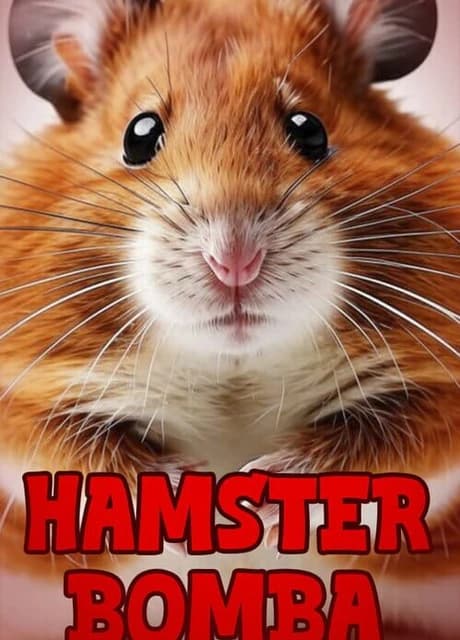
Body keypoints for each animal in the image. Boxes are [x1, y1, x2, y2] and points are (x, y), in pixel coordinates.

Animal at [0, 0, 459, 637]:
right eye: (139, 135)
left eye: (309, 129)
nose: (234, 259)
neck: (233, 370)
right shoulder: (21, 403)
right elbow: (73, 451)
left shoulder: (441, 395)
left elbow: (387, 442)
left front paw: (254, 493)